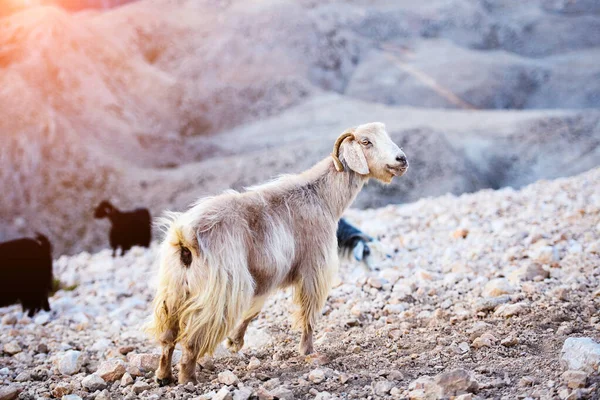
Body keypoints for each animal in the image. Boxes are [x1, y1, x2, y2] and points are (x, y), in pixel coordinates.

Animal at [146, 121, 408, 384]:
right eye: (366, 142)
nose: (402, 159)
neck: (321, 196)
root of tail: (185, 237)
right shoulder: (313, 267)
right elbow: (308, 313)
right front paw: (308, 351)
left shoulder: (266, 276)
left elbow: (254, 311)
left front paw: (234, 342)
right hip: (221, 290)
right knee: (193, 338)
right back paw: (188, 378)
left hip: (175, 290)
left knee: (168, 337)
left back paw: (163, 376)